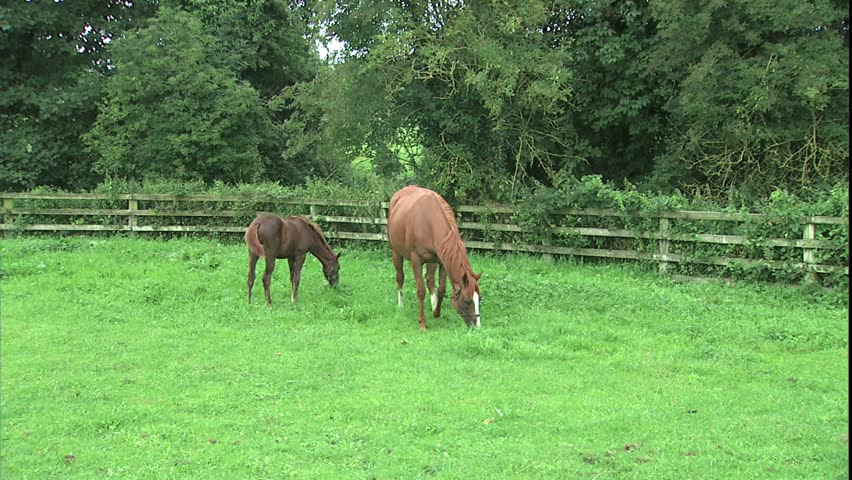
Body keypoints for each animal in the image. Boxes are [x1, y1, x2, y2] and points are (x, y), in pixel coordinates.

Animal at [387, 185, 482, 330]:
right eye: (467, 301)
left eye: (479, 298)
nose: (477, 328)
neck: (430, 221)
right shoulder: (416, 261)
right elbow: (421, 291)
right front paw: (422, 323)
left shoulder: (442, 261)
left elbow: (441, 290)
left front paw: (436, 313)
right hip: (396, 253)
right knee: (400, 277)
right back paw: (401, 305)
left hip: (432, 261)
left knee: (430, 280)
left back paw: (433, 305)